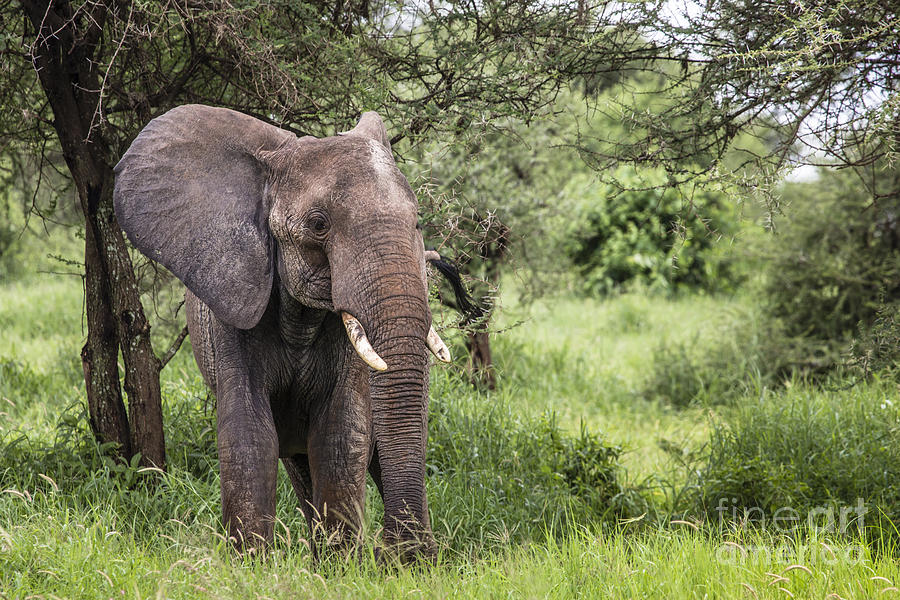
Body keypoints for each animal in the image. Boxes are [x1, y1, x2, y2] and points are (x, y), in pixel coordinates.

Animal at [113, 104, 460, 556]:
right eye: (318, 225)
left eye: (417, 221)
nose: (395, 559)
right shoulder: (234, 304)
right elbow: (248, 429)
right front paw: (253, 562)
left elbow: (340, 431)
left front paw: (345, 565)